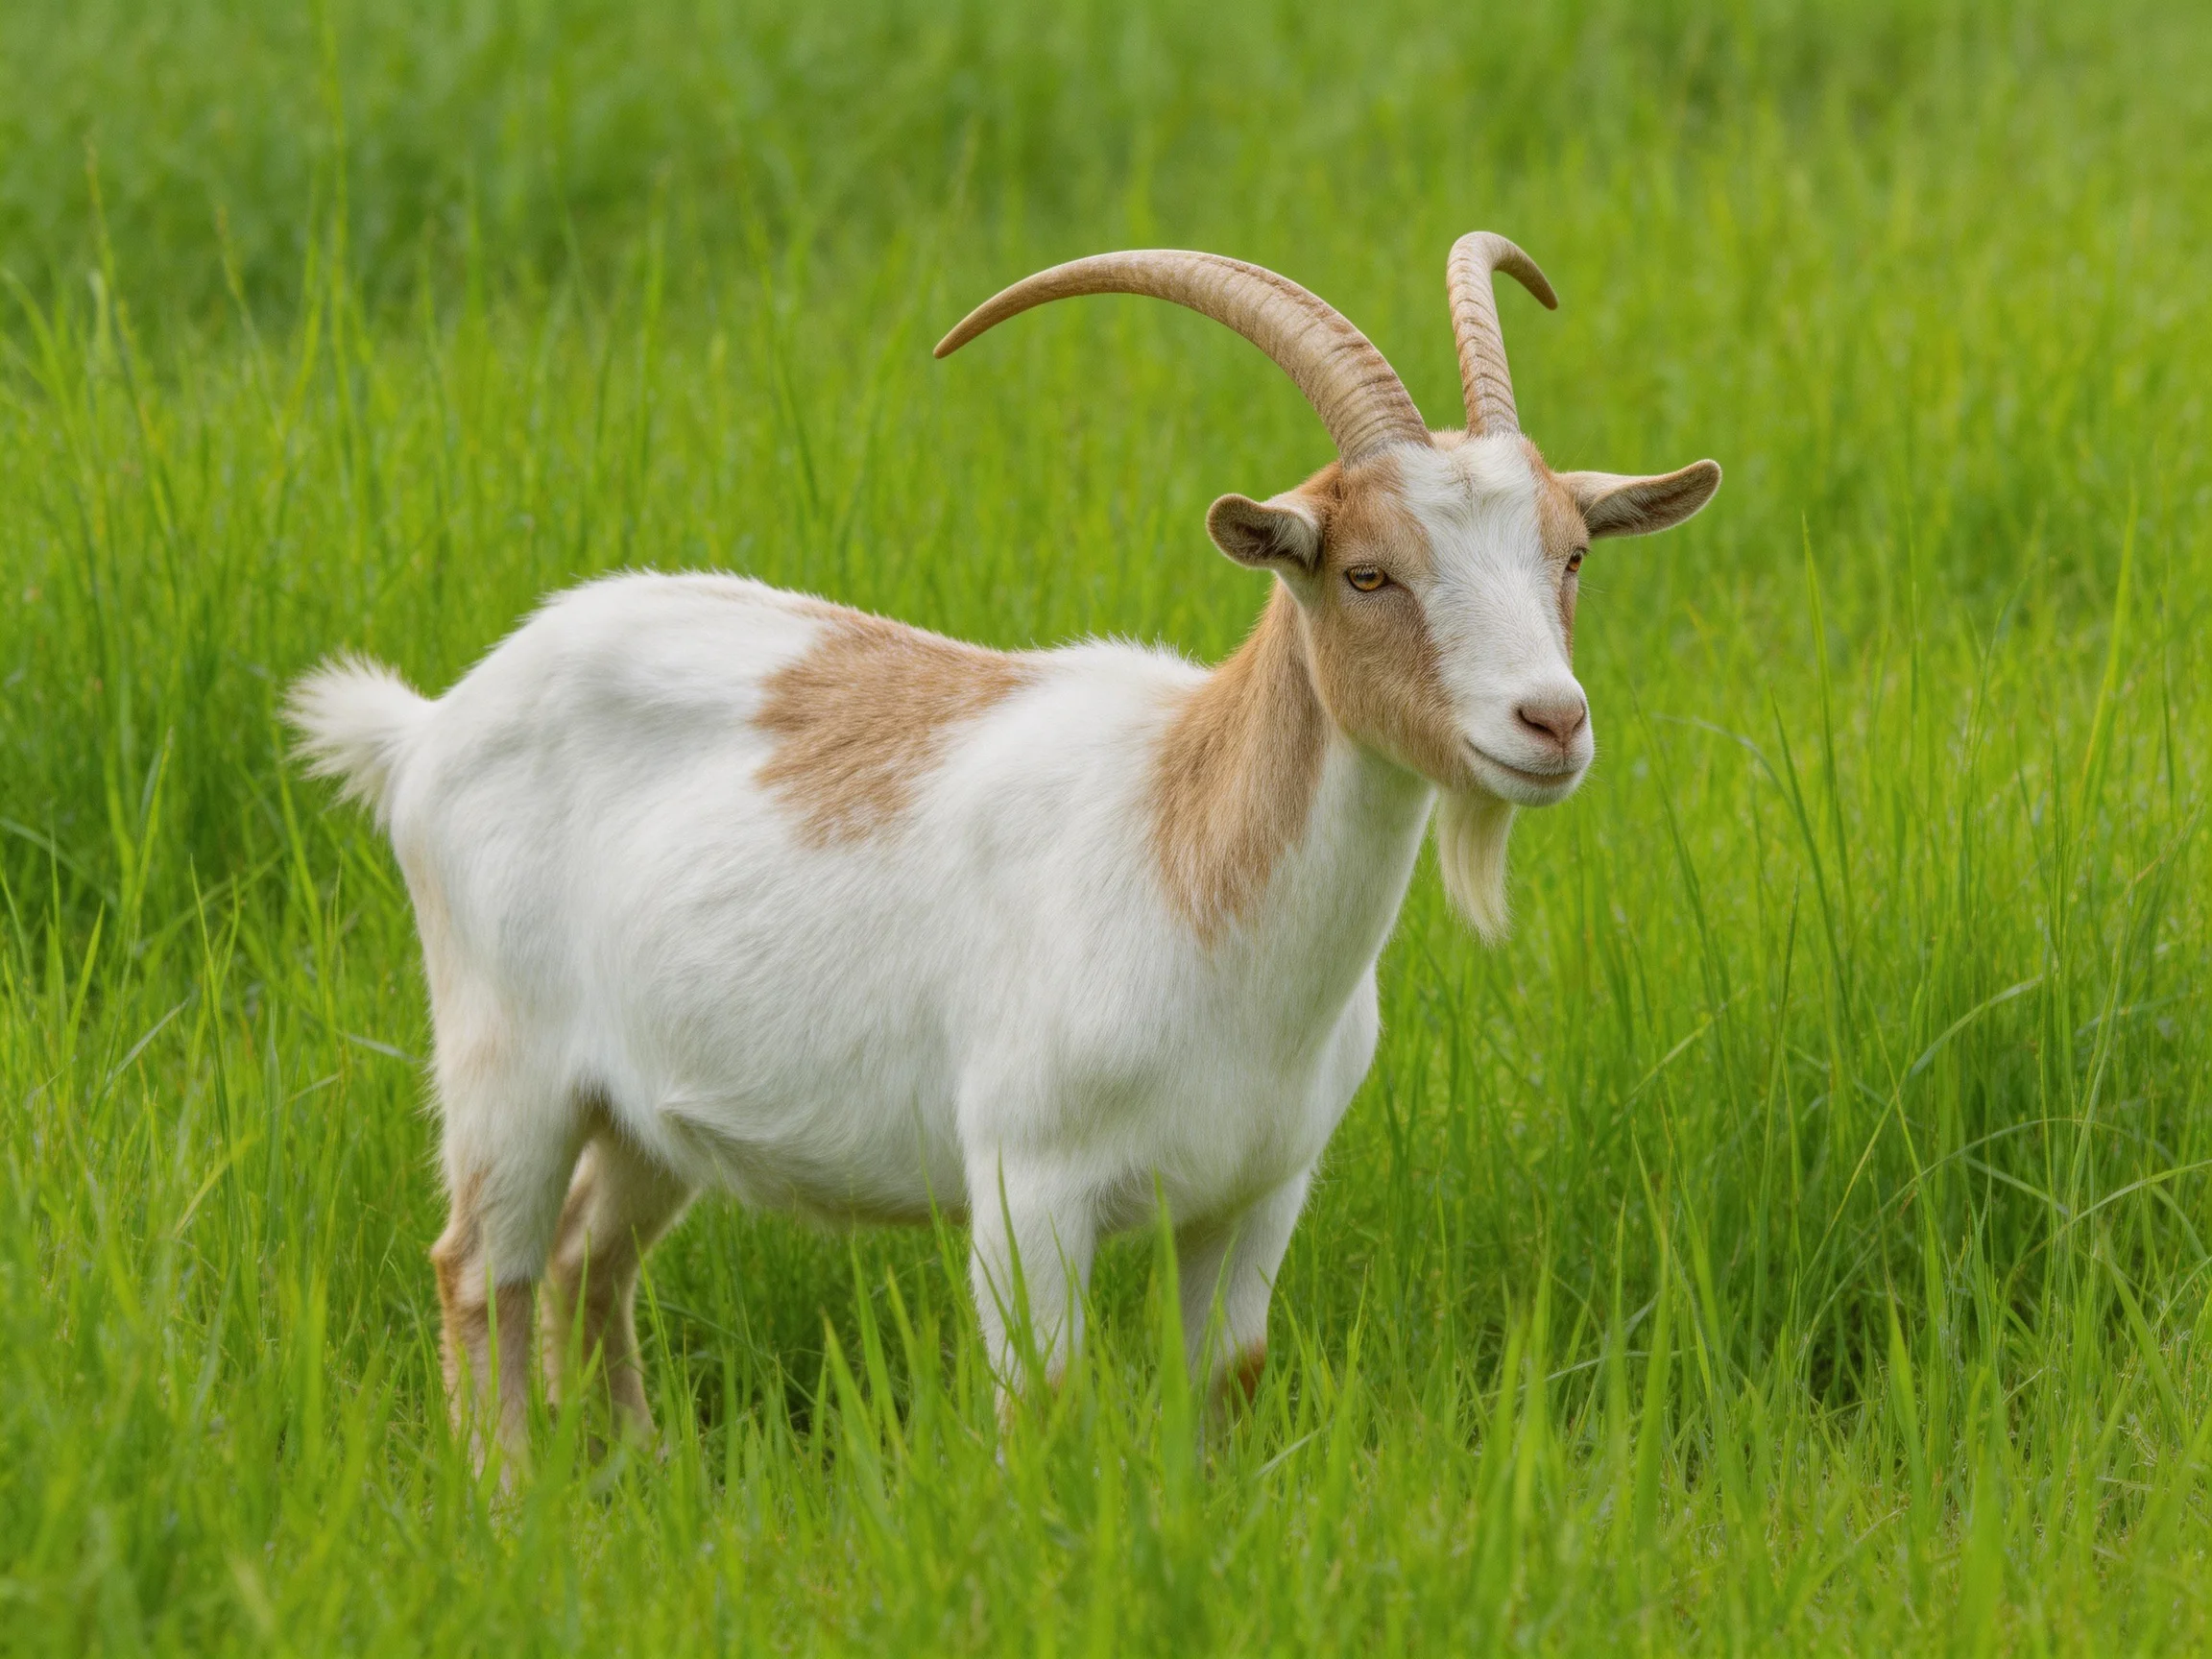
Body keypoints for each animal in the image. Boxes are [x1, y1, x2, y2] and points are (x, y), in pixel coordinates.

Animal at [290, 233, 1720, 1462]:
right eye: (1367, 574)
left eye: (1570, 555)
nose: (1550, 722)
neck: (1188, 847)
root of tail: (430, 727)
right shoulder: (1031, 1187)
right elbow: (1044, 1403)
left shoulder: (1258, 1192)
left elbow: (1225, 1383)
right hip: (505, 1059)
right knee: (483, 1269)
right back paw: (509, 1500)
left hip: (645, 1100)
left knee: (593, 1256)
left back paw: (639, 1468)